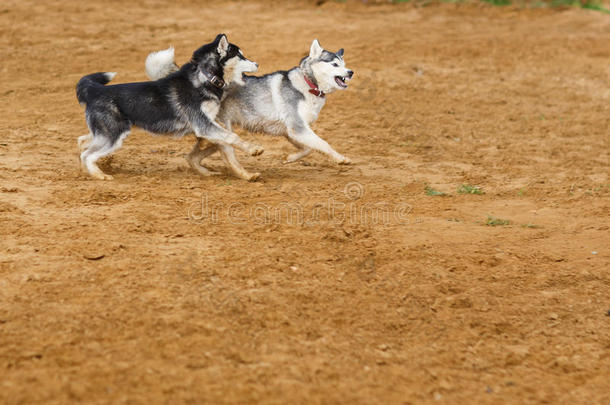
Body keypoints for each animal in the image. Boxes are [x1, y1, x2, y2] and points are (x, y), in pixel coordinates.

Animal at [77, 34, 262, 180]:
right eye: (241, 56)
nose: (257, 64)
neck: (205, 78)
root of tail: (95, 90)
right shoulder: (203, 125)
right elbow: (232, 137)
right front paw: (254, 149)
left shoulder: (209, 125)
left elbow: (228, 150)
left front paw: (246, 175)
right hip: (113, 136)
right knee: (86, 155)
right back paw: (99, 175)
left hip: (104, 133)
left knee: (83, 142)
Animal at [145, 39, 352, 169]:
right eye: (334, 64)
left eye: (344, 63)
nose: (351, 72)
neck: (308, 84)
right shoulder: (297, 127)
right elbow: (323, 144)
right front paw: (341, 159)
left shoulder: (291, 130)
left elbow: (308, 148)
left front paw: (289, 158)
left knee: (199, 152)